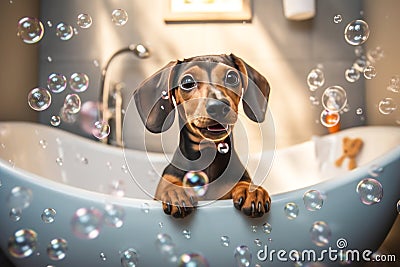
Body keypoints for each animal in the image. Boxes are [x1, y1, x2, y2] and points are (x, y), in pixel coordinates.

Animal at [134, 53, 272, 219]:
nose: (218, 106)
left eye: (232, 77)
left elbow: (243, 182)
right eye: (187, 82)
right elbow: (168, 185)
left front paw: (251, 190)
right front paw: (175, 192)